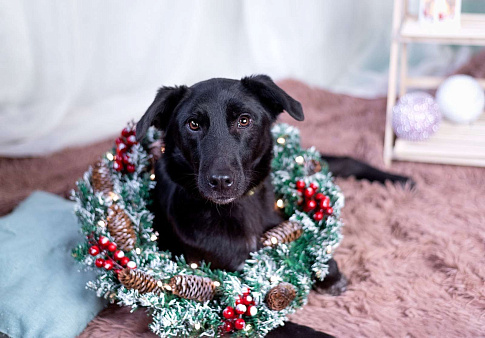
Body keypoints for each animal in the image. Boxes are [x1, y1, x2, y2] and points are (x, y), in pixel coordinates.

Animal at [135, 75, 408, 336]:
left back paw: (401, 179)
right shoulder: (223, 308)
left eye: (244, 120)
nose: (220, 181)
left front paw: (331, 276)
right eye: (193, 124)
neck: (239, 208)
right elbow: (292, 329)